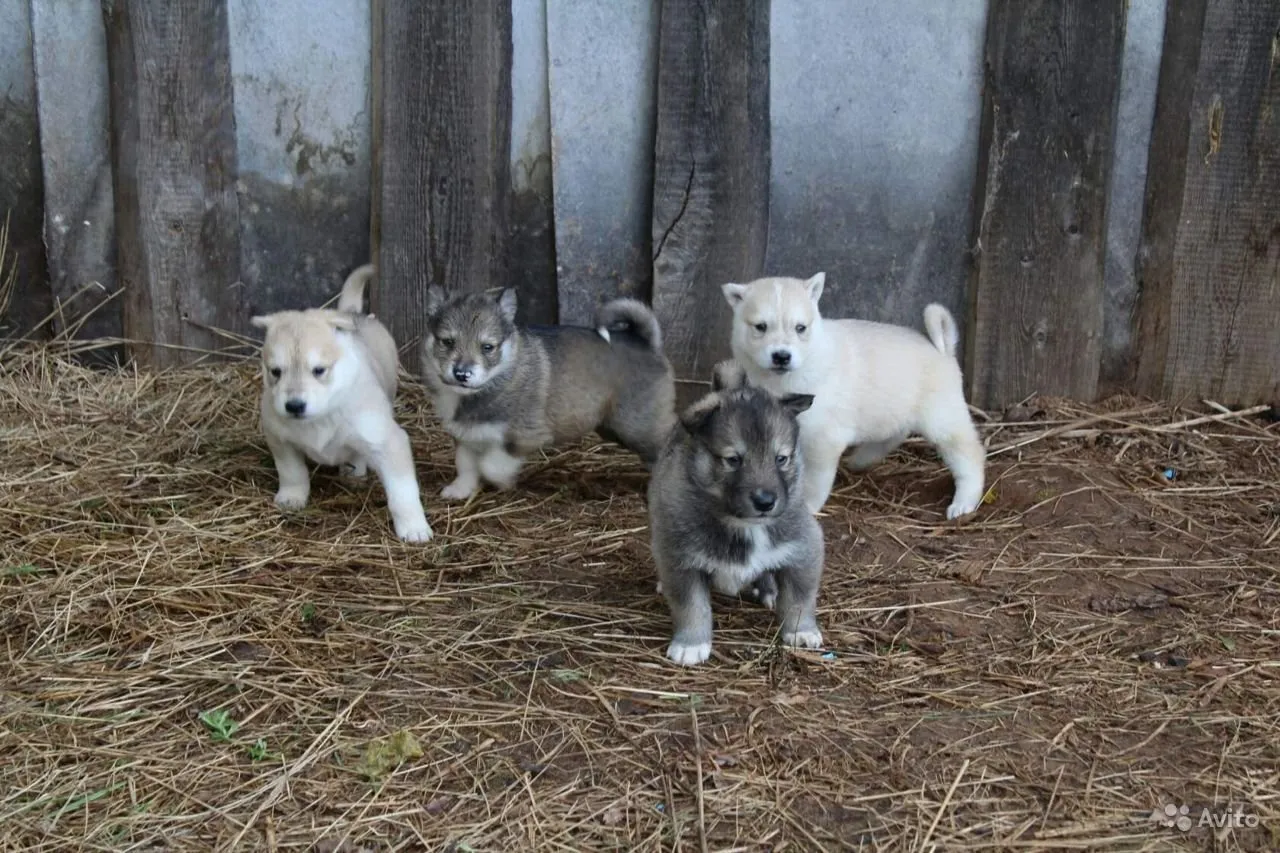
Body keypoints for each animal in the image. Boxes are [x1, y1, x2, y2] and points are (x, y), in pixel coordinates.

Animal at [252, 263, 432, 537]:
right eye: (275, 371)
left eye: (319, 370)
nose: (294, 406)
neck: (321, 416)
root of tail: (352, 313)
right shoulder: (279, 438)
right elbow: (292, 472)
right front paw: (292, 497)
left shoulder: (388, 441)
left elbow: (403, 493)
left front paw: (414, 527)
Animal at [419, 285, 680, 499]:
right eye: (447, 342)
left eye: (487, 347)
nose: (461, 374)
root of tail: (647, 343)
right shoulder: (465, 435)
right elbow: (466, 465)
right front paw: (459, 490)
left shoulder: (525, 435)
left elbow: (491, 464)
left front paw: (502, 482)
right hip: (612, 426)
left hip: (637, 425)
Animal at [650, 358, 819, 666]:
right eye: (733, 460)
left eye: (781, 458)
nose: (765, 501)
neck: (743, 524)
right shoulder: (680, 559)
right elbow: (691, 605)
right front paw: (691, 644)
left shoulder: (805, 547)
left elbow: (800, 598)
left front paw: (801, 632)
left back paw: (768, 589)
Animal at [727, 274, 983, 517]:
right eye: (760, 327)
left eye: (800, 328)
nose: (781, 356)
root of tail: (943, 349)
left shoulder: (823, 438)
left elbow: (814, 480)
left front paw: (808, 506)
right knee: (894, 435)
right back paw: (861, 459)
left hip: (942, 420)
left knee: (970, 458)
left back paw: (963, 503)